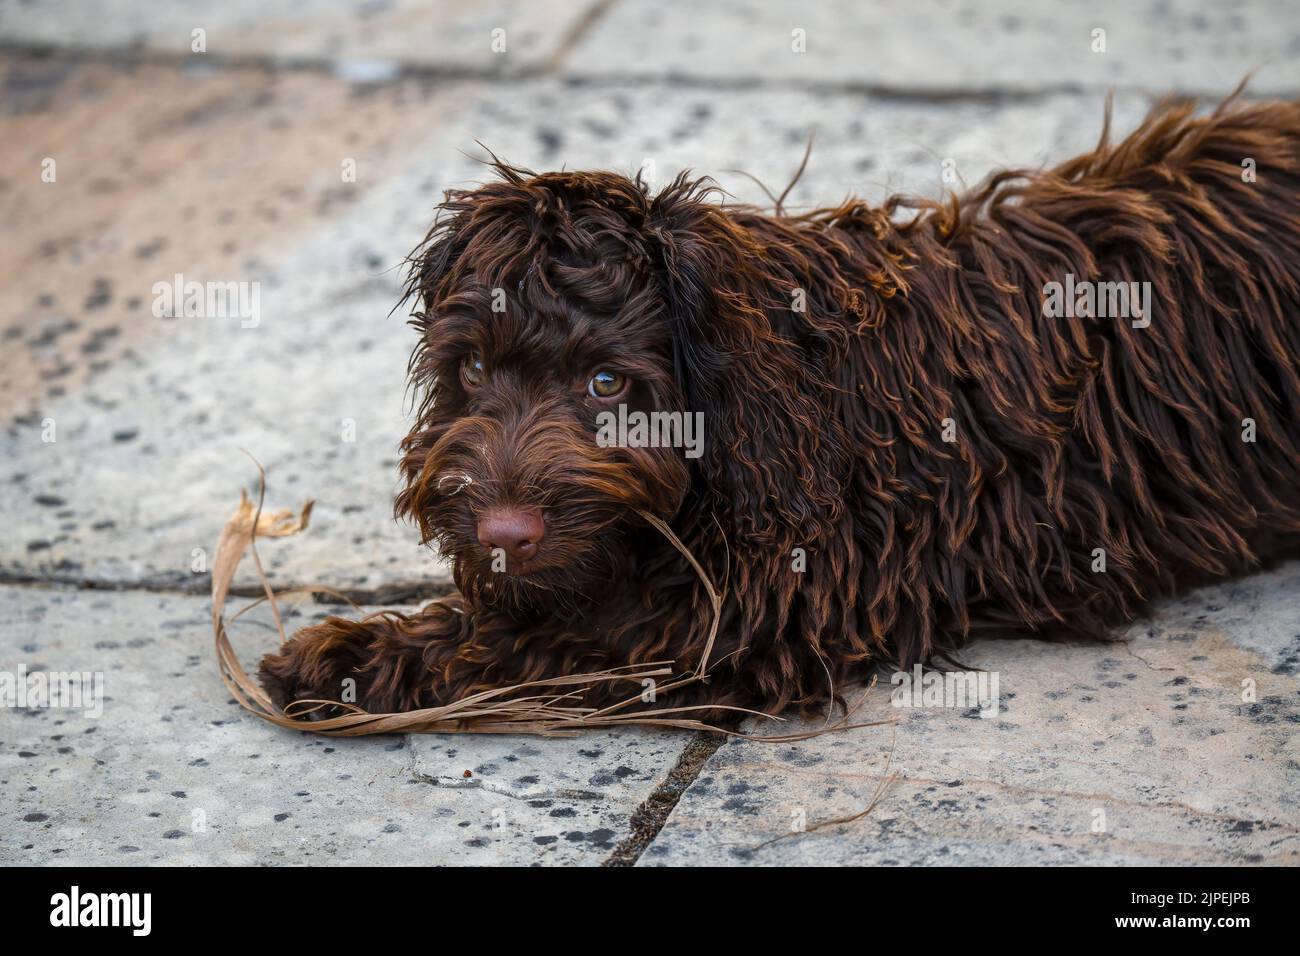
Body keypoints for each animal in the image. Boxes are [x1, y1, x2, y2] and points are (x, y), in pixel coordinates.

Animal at [261, 97, 1300, 723]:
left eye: (607, 384)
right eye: (471, 370)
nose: (503, 532)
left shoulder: (759, 612)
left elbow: (546, 640)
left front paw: (355, 655)